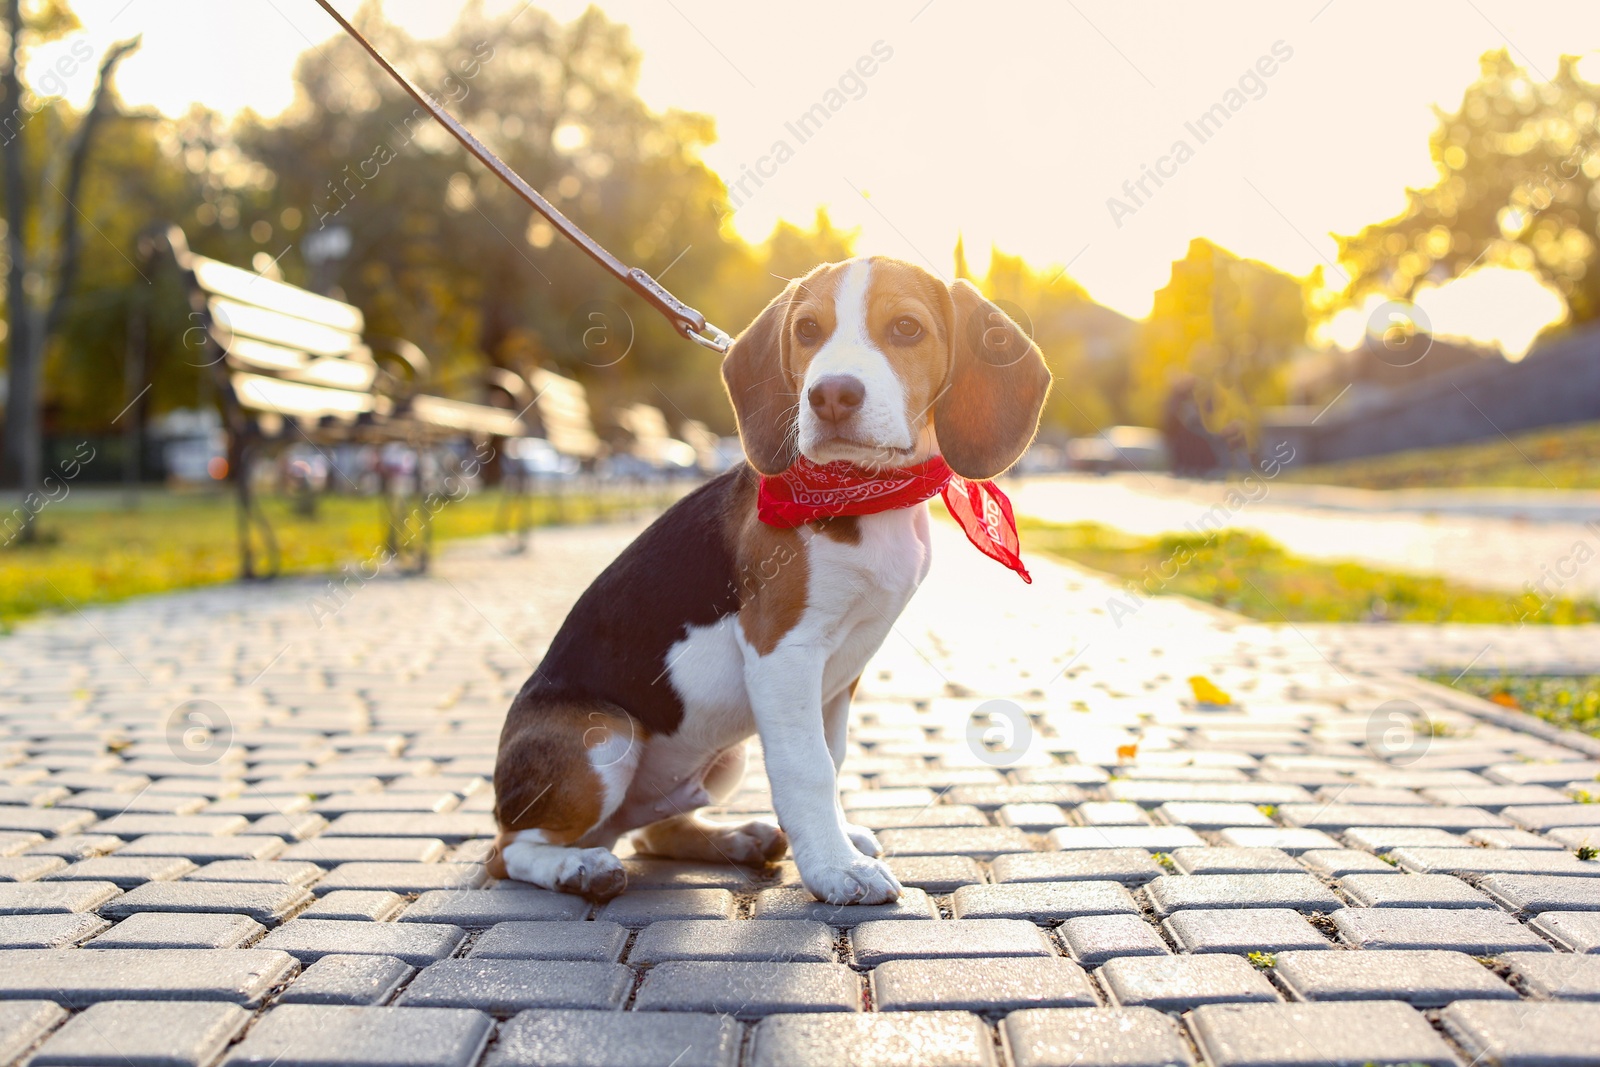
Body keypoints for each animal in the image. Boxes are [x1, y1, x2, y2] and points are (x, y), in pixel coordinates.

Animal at [486, 255, 1049, 902]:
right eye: (806, 331)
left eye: (907, 328)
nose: (829, 394)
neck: (869, 491)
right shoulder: (783, 650)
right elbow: (808, 766)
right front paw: (836, 869)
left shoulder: (840, 672)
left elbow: (833, 755)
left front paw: (837, 842)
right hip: (602, 737)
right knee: (508, 851)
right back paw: (577, 867)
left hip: (720, 764)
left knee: (653, 833)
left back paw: (738, 838)